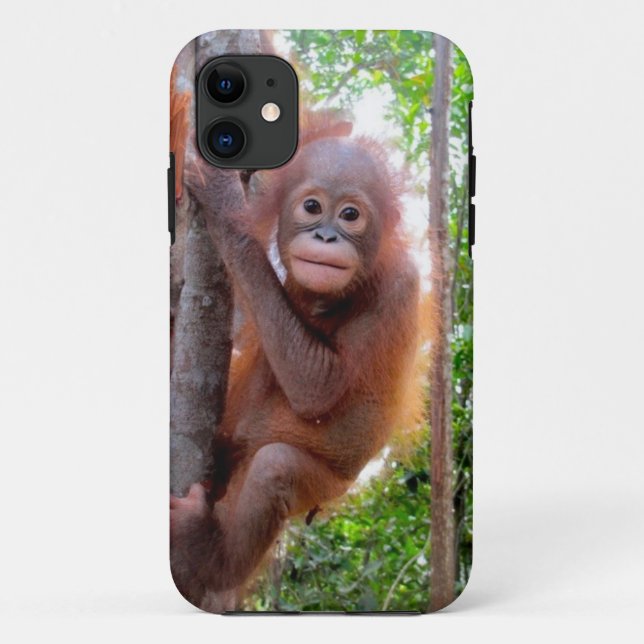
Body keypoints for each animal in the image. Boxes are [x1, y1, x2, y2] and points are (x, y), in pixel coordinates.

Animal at [170, 133, 420, 608]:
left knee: (276, 467)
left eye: (350, 214)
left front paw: (223, 199)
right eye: (311, 207)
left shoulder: (398, 287)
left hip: (323, 487)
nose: (326, 235)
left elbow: (317, 387)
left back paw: (209, 555)